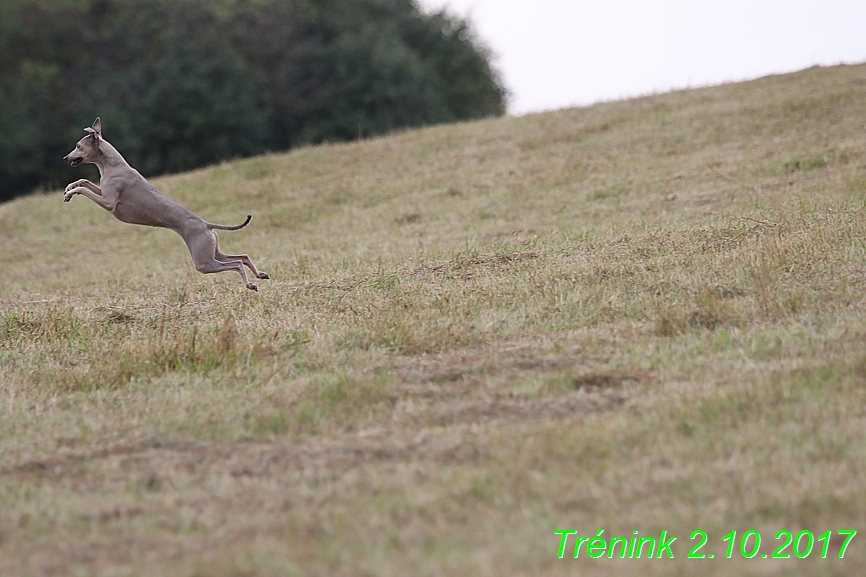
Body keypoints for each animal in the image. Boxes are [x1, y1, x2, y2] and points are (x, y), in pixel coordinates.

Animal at [61, 118, 266, 288]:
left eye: (78, 146)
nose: (65, 158)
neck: (113, 165)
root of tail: (206, 225)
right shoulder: (103, 192)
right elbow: (84, 182)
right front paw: (69, 189)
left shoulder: (109, 203)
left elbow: (85, 189)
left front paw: (70, 193)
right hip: (213, 252)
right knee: (243, 256)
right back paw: (261, 275)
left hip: (203, 261)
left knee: (236, 263)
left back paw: (250, 284)